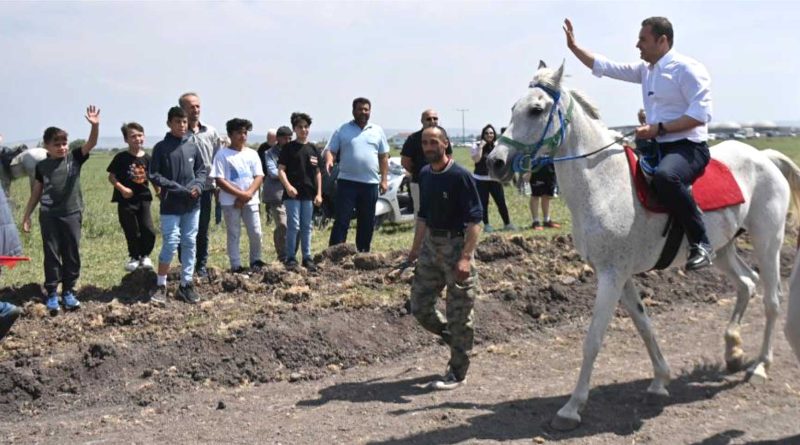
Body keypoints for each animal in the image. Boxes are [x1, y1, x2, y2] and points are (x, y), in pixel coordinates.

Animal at [484, 62, 800, 430]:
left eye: (536, 109)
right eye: (513, 108)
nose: (495, 162)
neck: (605, 184)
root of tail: (764, 156)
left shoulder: (611, 276)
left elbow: (593, 340)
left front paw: (572, 408)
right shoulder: (618, 275)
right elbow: (644, 325)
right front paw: (660, 380)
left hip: (768, 241)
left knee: (772, 300)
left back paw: (760, 366)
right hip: (722, 250)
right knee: (747, 283)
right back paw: (733, 351)